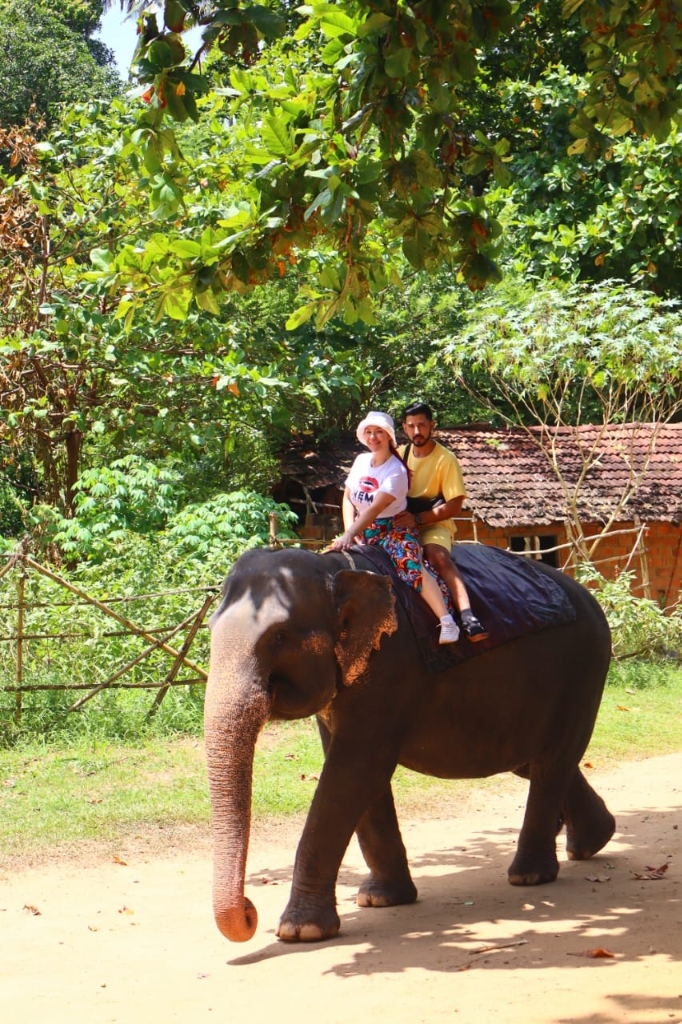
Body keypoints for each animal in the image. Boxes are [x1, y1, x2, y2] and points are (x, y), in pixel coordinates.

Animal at [204, 544, 616, 944]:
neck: (335, 568)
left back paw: (530, 875)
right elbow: (357, 773)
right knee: (534, 761)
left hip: (585, 665)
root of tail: (588, 595)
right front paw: (380, 899)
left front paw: (300, 931)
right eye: (209, 627)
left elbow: (352, 770)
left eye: (278, 637)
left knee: (551, 761)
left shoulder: (392, 666)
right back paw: (592, 842)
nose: (250, 912)